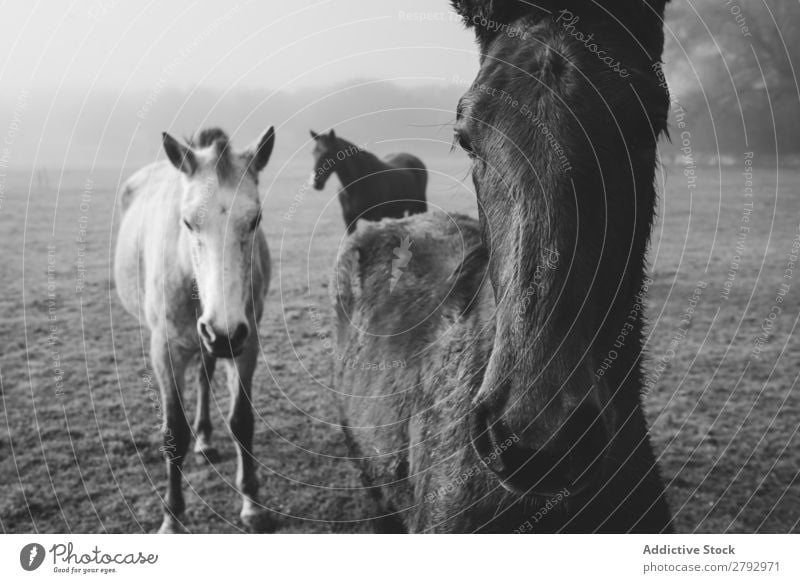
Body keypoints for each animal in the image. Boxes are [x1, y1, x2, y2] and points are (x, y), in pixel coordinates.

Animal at [112, 126, 276, 532]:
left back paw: (205, 438)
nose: (223, 332)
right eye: (187, 223)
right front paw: (172, 516)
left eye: (255, 219)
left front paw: (252, 503)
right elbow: (174, 432)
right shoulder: (166, 350)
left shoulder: (247, 344)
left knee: (205, 373)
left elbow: (242, 421)